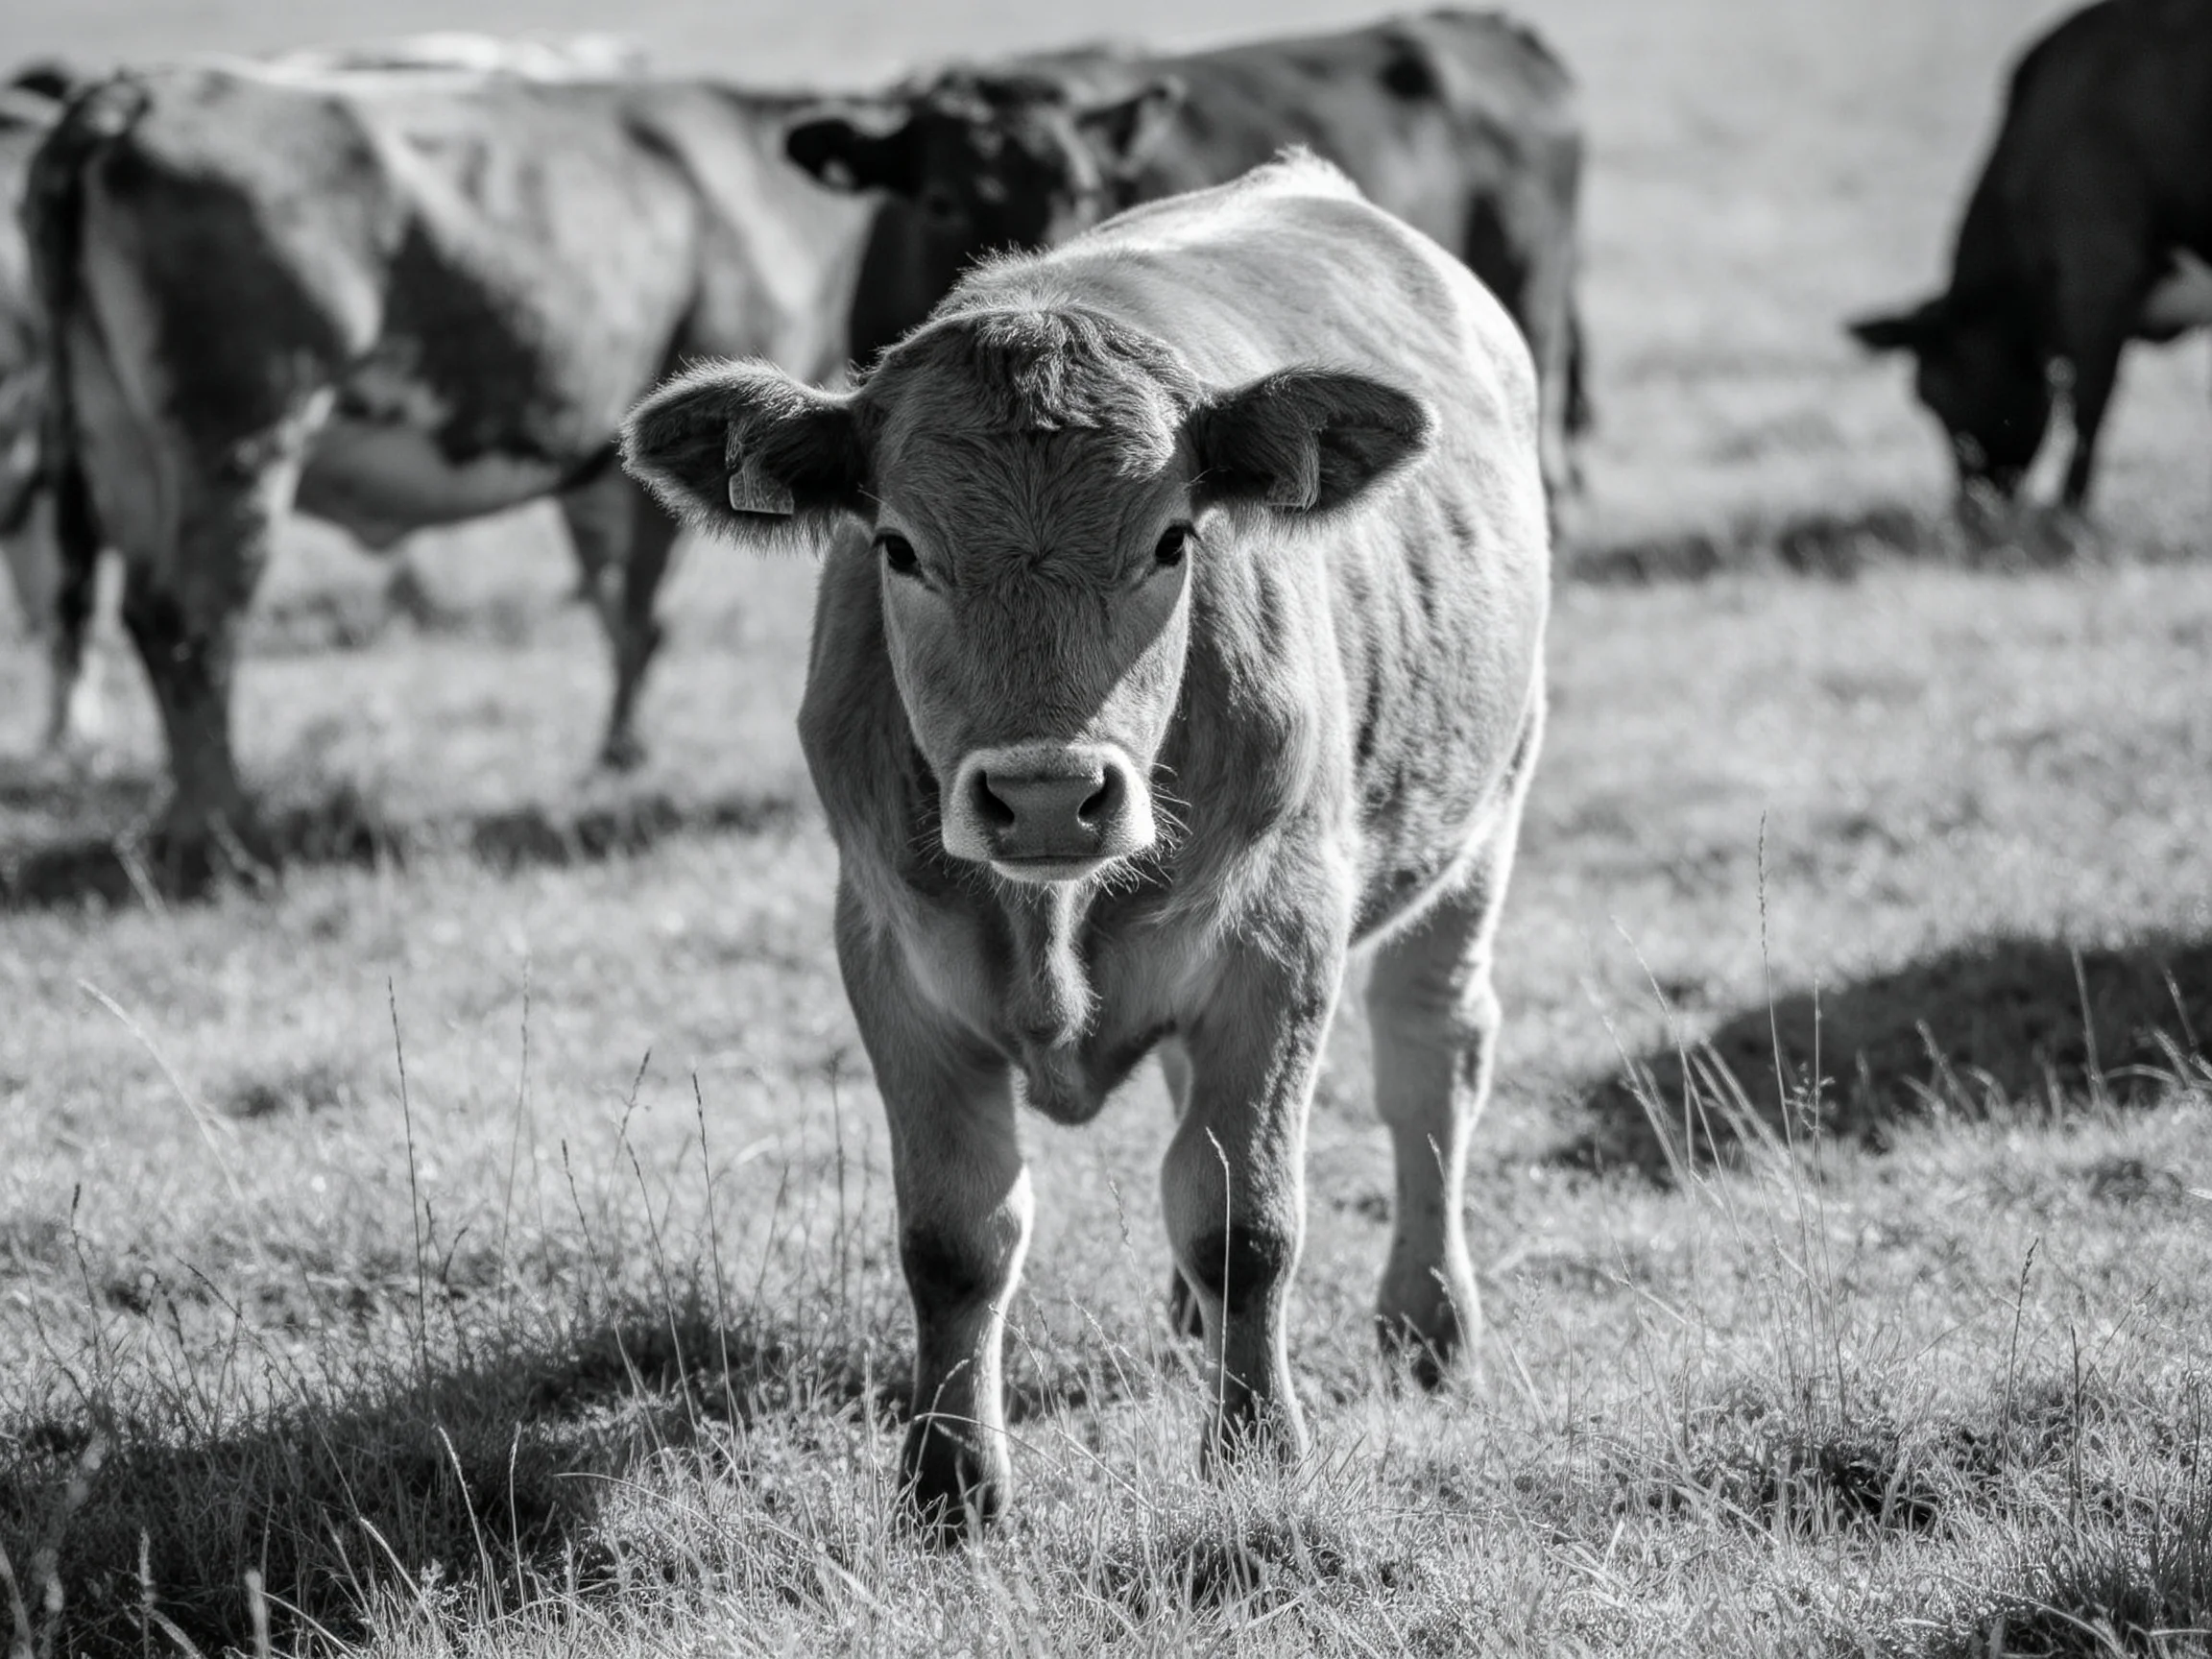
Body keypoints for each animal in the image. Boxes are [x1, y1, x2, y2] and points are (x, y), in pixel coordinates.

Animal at [26, 58, 874, 872]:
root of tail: (135, 95)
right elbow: (643, 611)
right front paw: (624, 754)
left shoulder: (603, 464)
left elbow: (610, 602)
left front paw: (618, 751)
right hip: (240, 438)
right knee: (195, 624)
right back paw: (219, 831)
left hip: (118, 437)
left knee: (145, 616)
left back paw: (179, 820)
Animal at [622, 153, 1550, 1533]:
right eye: (897, 546)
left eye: (1173, 538)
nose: (1050, 796)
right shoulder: (892, 956)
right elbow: (955, 1239)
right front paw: (952, 1487)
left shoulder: (1281, 940)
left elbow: (1245, 1222)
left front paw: (1257, 1452)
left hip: (1487, 810)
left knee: (1431, 1058)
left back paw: (1428, 1325)